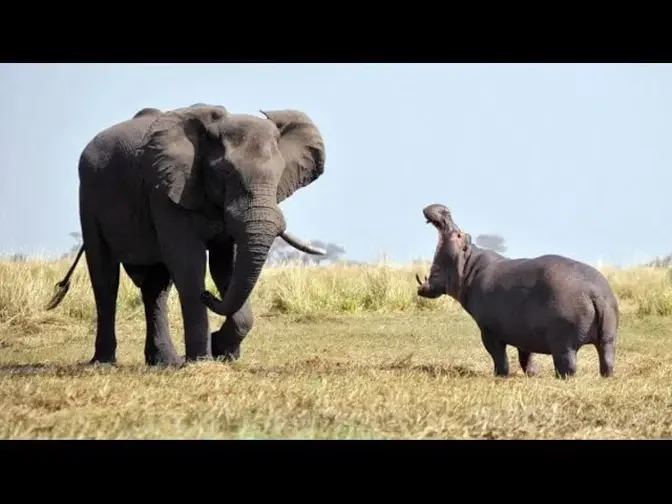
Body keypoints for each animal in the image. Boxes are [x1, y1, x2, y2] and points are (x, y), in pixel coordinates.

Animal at [46, 102, 330, 366]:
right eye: (225, 173)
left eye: (279, 174)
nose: (208, 295)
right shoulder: (166, 188)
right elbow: (189, 262)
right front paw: (202, 360)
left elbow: (226, 266)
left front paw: (223, 351)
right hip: (89, 195)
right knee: (105, 276)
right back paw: (104, 362)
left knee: (156, 286)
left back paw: (165, 362)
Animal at [414, 204, 620, 378]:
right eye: (464, 234)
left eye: (458, 235)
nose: (444, 209)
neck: (469, 266)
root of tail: (595, 292)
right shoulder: (524, 333)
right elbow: (525, 357)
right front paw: (532, 374)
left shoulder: (489, 331)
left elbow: (498, 356)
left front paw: (500, 376)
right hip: (608, 338)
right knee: (607, 359)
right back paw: (606, 377)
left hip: (563, 343)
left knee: (568, 366)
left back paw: (561, 378)